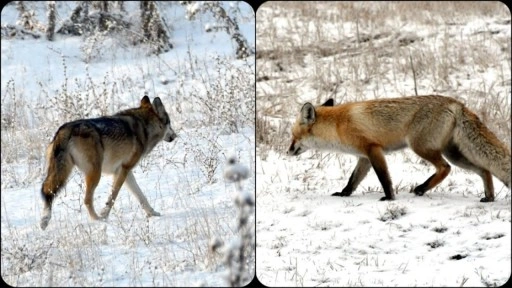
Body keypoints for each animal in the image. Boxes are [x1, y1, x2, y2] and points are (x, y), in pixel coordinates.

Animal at [290, 95, 510, 201]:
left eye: (293, 136)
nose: (288, 150)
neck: (337, 125)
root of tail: (456, 103)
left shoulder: (374, 149)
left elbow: (384, 178)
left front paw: (389, 198)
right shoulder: (364, 156)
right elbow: (353, 180)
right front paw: (344, 194)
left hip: (420, 147)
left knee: (445, 168)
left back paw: (421, 188)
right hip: (454, 153)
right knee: (485, 170)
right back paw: (489, 197)